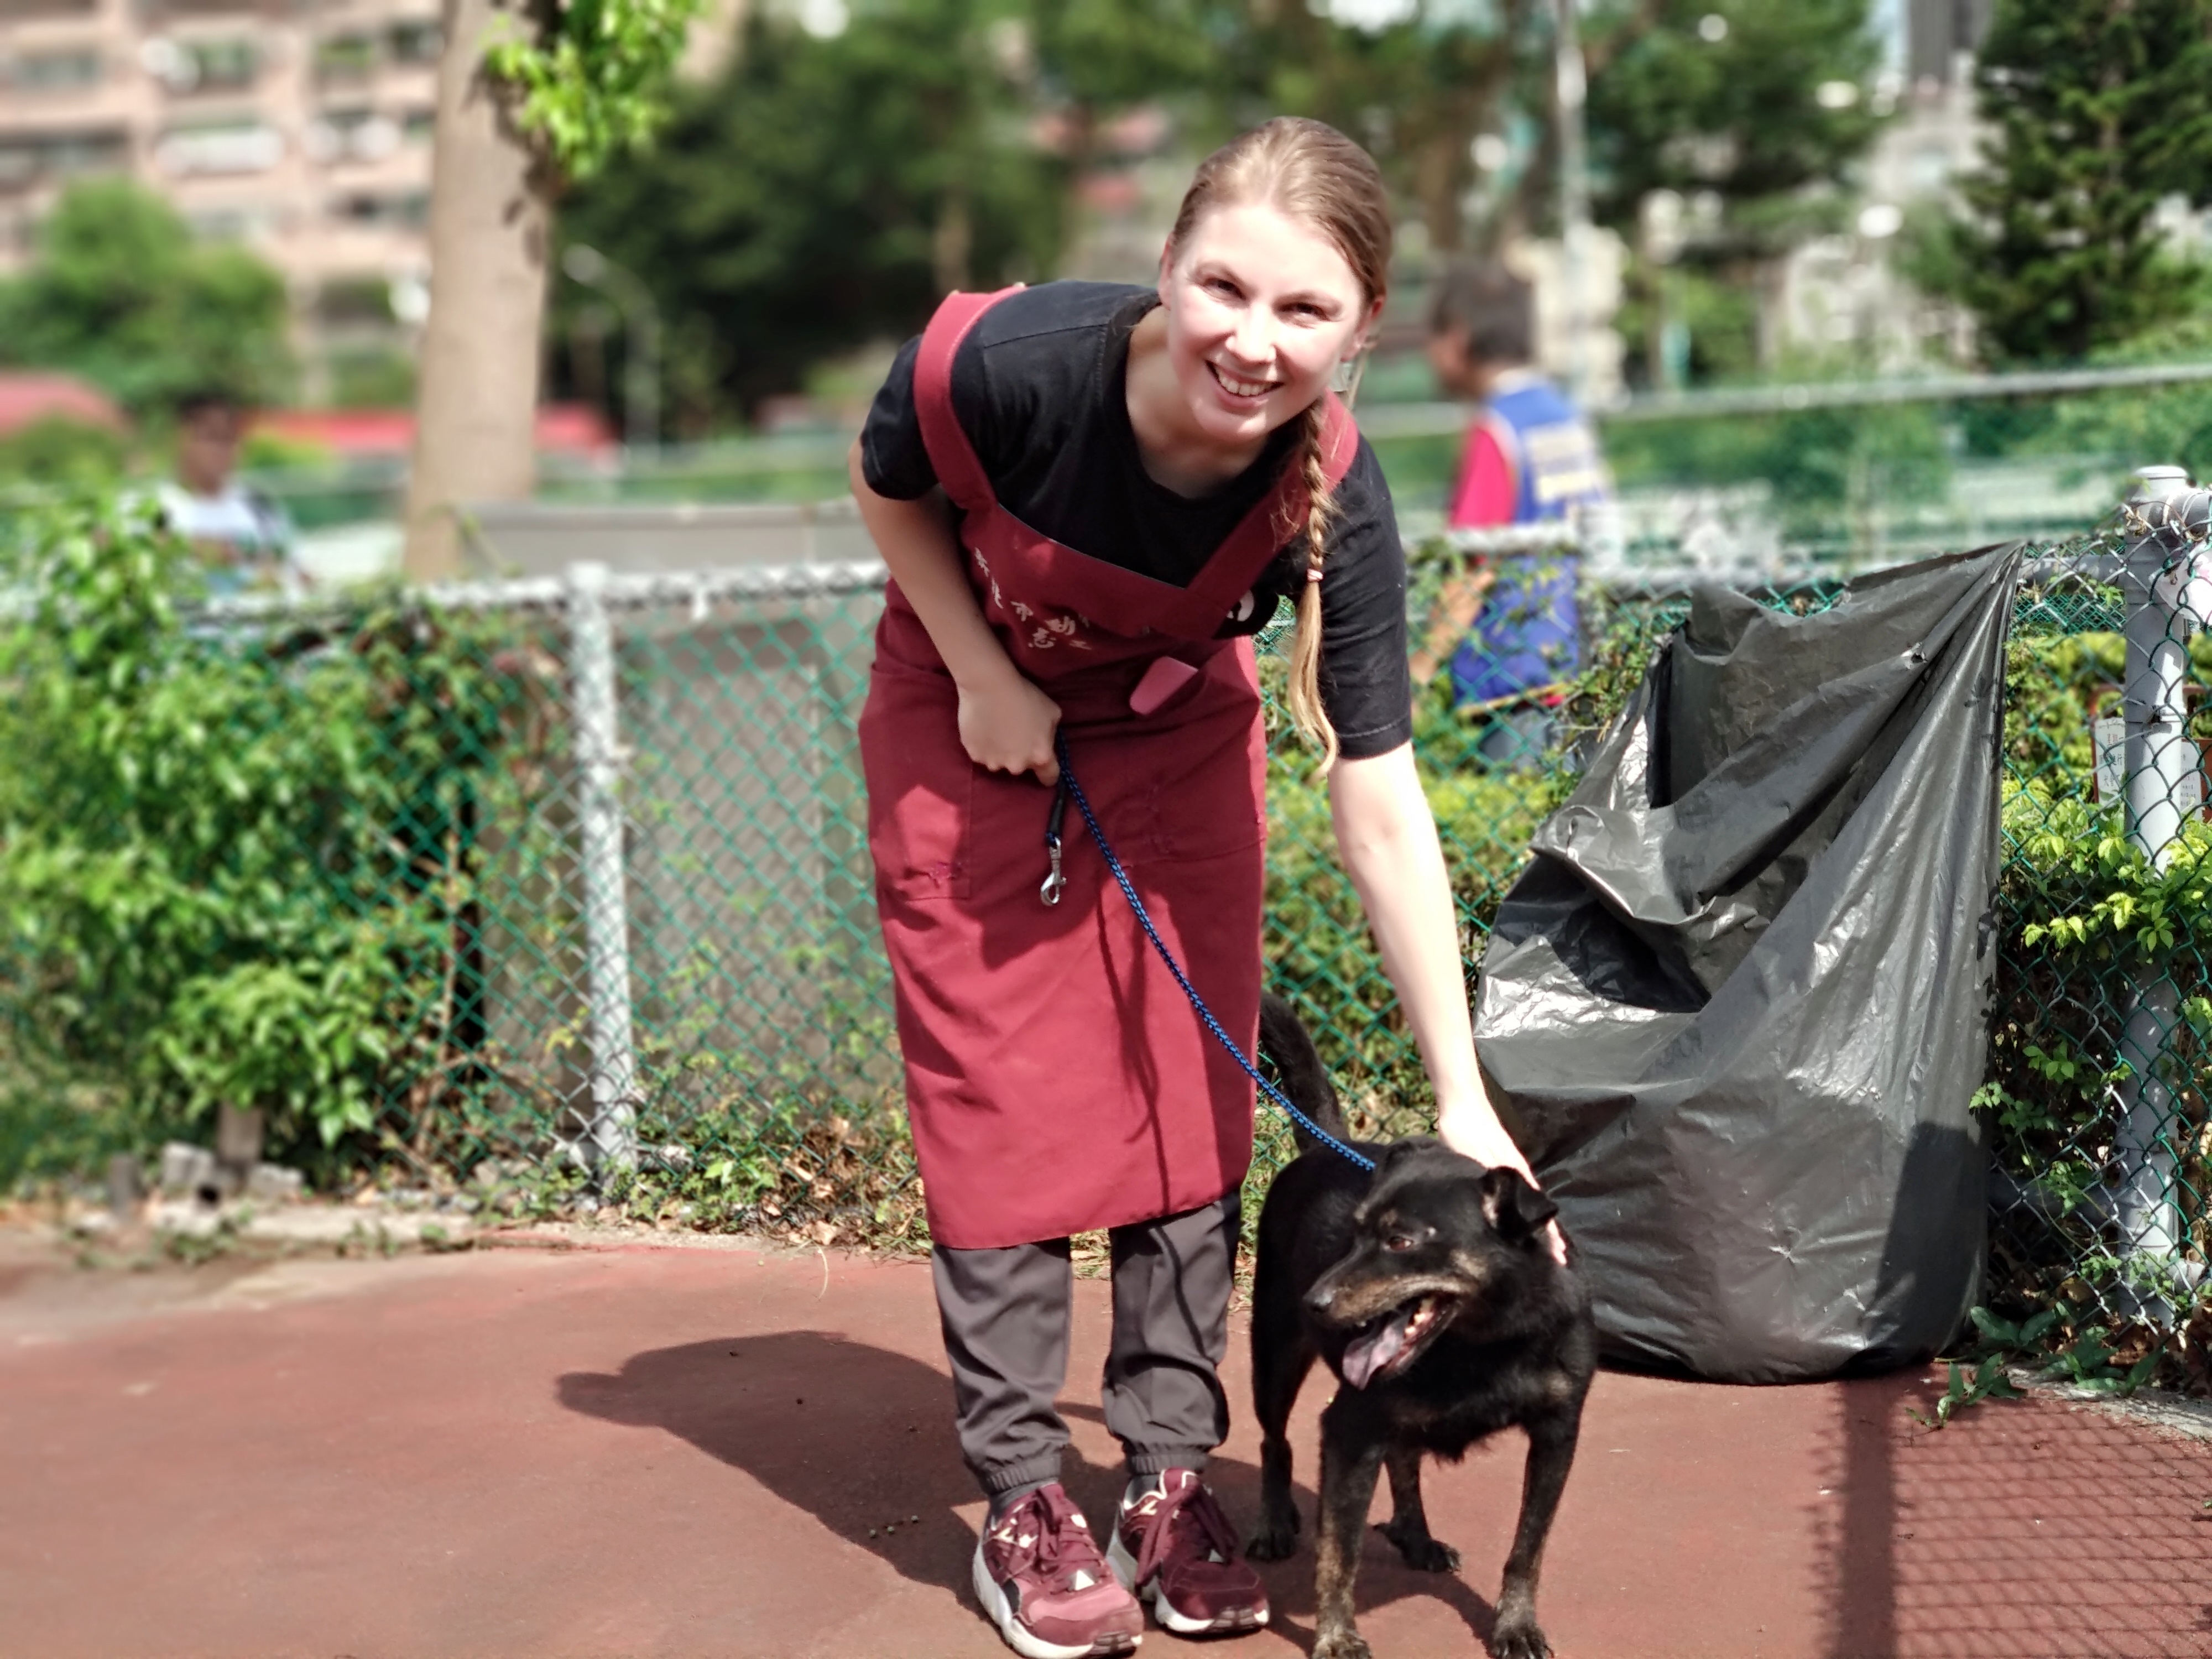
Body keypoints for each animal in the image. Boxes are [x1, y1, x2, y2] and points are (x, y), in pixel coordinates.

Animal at [1248, 1000, 1593, 1659]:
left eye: (1401, 1242)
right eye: (1354, 1232)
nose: (1314, 1302)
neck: (1485, 1345)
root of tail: (1328, 1142)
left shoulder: (1558, 1434)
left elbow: (1527, 1550)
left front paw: (1516, 1625)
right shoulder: (1349, 1427)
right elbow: (1339, 1552)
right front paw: (1335, 1635)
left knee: (1403, 1457)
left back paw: (1416, 1535)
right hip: (1273, 1359)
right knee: (1274, 1442)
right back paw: (1274, 1522)